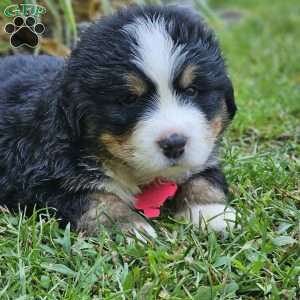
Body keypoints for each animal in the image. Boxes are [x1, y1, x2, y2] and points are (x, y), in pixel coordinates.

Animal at [1, 4, 238, 238]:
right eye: (129, 99)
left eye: (192, 91)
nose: (174, 143)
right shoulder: (41, 180)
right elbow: (95, 198)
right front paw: (128, 226)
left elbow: (204, 177)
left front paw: (211, 212)